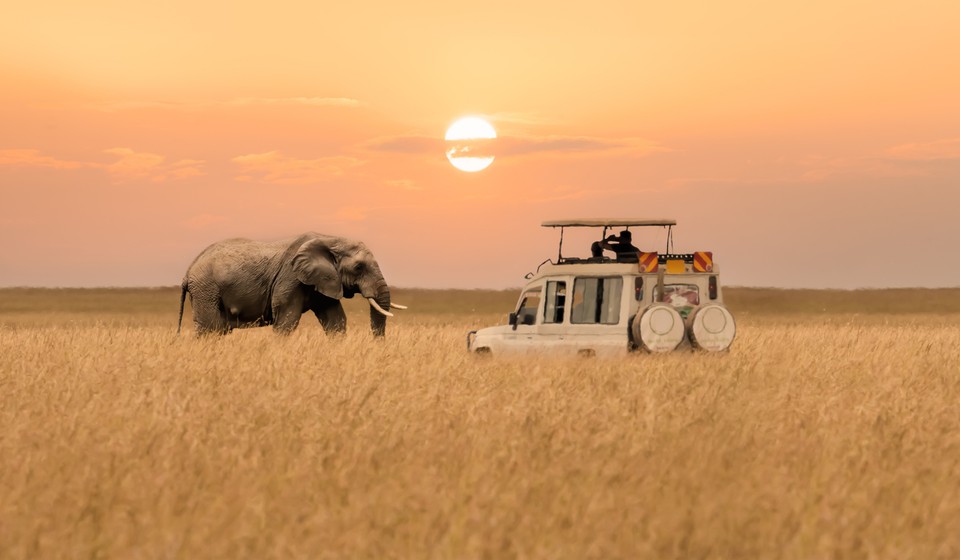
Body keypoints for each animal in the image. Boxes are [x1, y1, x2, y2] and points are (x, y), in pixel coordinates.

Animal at [177, 233, 404, 336]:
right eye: (358, 267)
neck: (329, 239)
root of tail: (188, 271)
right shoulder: (290, 279)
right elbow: (287, 321)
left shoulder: (323, 282)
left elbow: (336, 321)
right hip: (206, 289)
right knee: (211, 329)